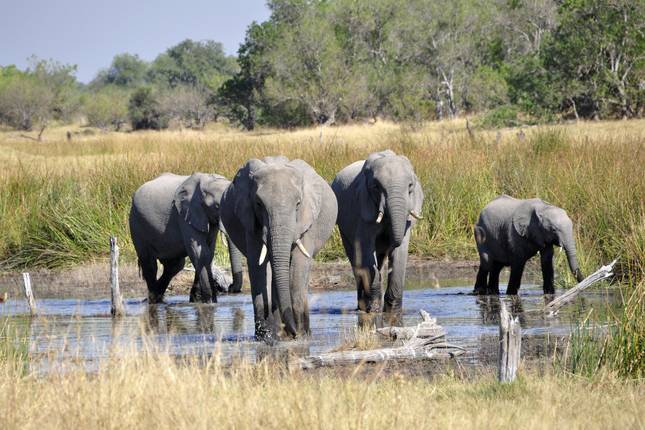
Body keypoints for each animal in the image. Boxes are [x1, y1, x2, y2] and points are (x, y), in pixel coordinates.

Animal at [129, 173, 244, 304]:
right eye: (217, 206)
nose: (230, 287)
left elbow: (209, 252)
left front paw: (198, 301)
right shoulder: (185, 214)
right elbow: (200, 252)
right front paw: (208, 302)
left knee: (174, 266)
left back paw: (159, 298)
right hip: (136, 224)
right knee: (149, 263)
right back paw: (153, 300)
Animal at [220, 156, 338, 340]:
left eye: (298, 204)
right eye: (259, 204)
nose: (293, 332)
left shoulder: (307, 221)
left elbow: (298, 265)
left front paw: (301, 334)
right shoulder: (250, 221)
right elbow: (258, 265)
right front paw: (267, 336)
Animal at [332, 150, 422, 312]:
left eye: (410, 186)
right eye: (376, 187)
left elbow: (401, 252)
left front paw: (393, 311)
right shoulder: (363, 210)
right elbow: (366, 249)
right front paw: (374, 310)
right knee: (356, 259)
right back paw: (362, 306)